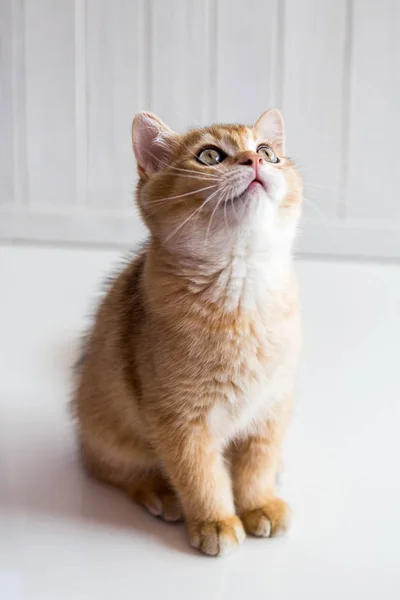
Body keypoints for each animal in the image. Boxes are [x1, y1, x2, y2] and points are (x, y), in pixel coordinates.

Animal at [73, 109, 302, 556]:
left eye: (267, 151)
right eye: (210, 156)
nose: (255, 160)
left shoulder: (272, 408)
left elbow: (257, 465)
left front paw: (259, 503)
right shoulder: (180, 422)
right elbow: (199, 476)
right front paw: (214, 521)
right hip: (110, 434)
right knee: (111, 470)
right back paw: (159, 493)